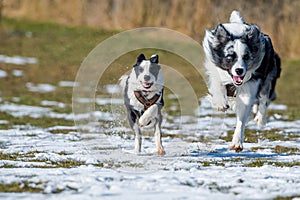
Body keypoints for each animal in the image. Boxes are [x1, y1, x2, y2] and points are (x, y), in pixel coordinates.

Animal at [202, 10, 282, 152]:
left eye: (246, 57)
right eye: (230, 57)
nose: (239, 70)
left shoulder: (250, 87)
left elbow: (242, 116)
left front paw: (237, 143)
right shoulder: (215, 73)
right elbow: (217, 88)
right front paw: (220, 104)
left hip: (269, 75)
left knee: (264, 98)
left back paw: (261, 118)